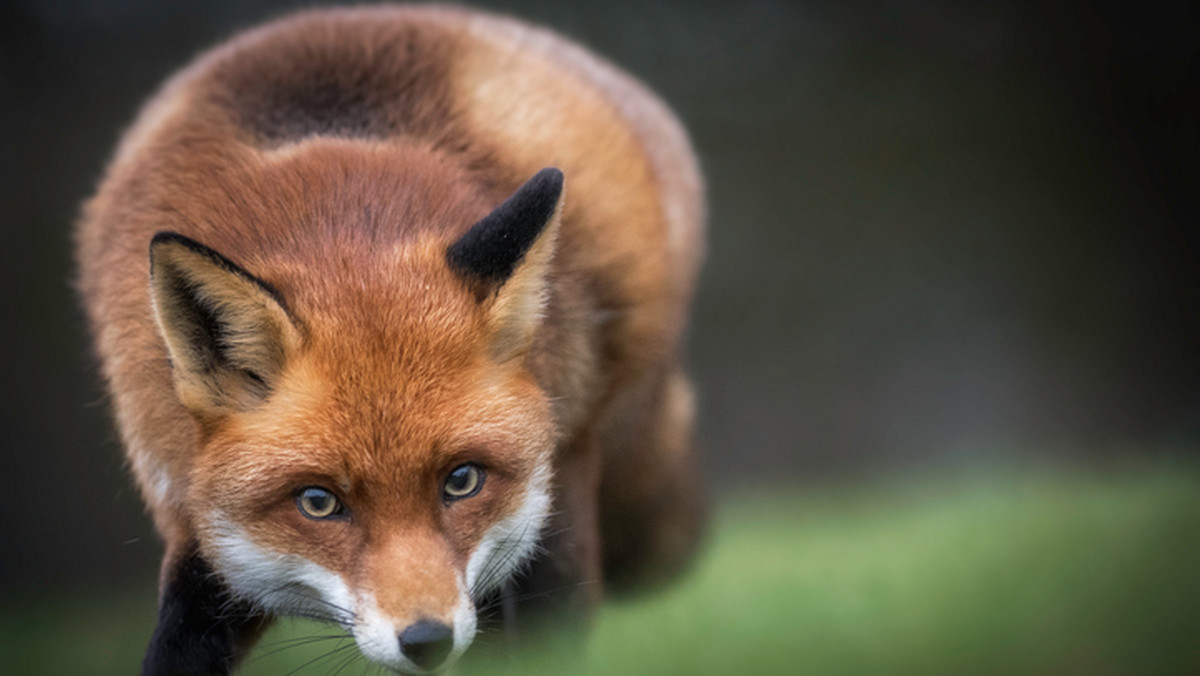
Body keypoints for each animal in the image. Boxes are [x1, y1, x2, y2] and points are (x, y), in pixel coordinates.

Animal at [75, 3, 705, 672]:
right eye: (318, 502)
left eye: (463, 480)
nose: (427, 640)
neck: (336, 220)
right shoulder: (195, 526)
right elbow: (177, 644)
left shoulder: (554, 516)